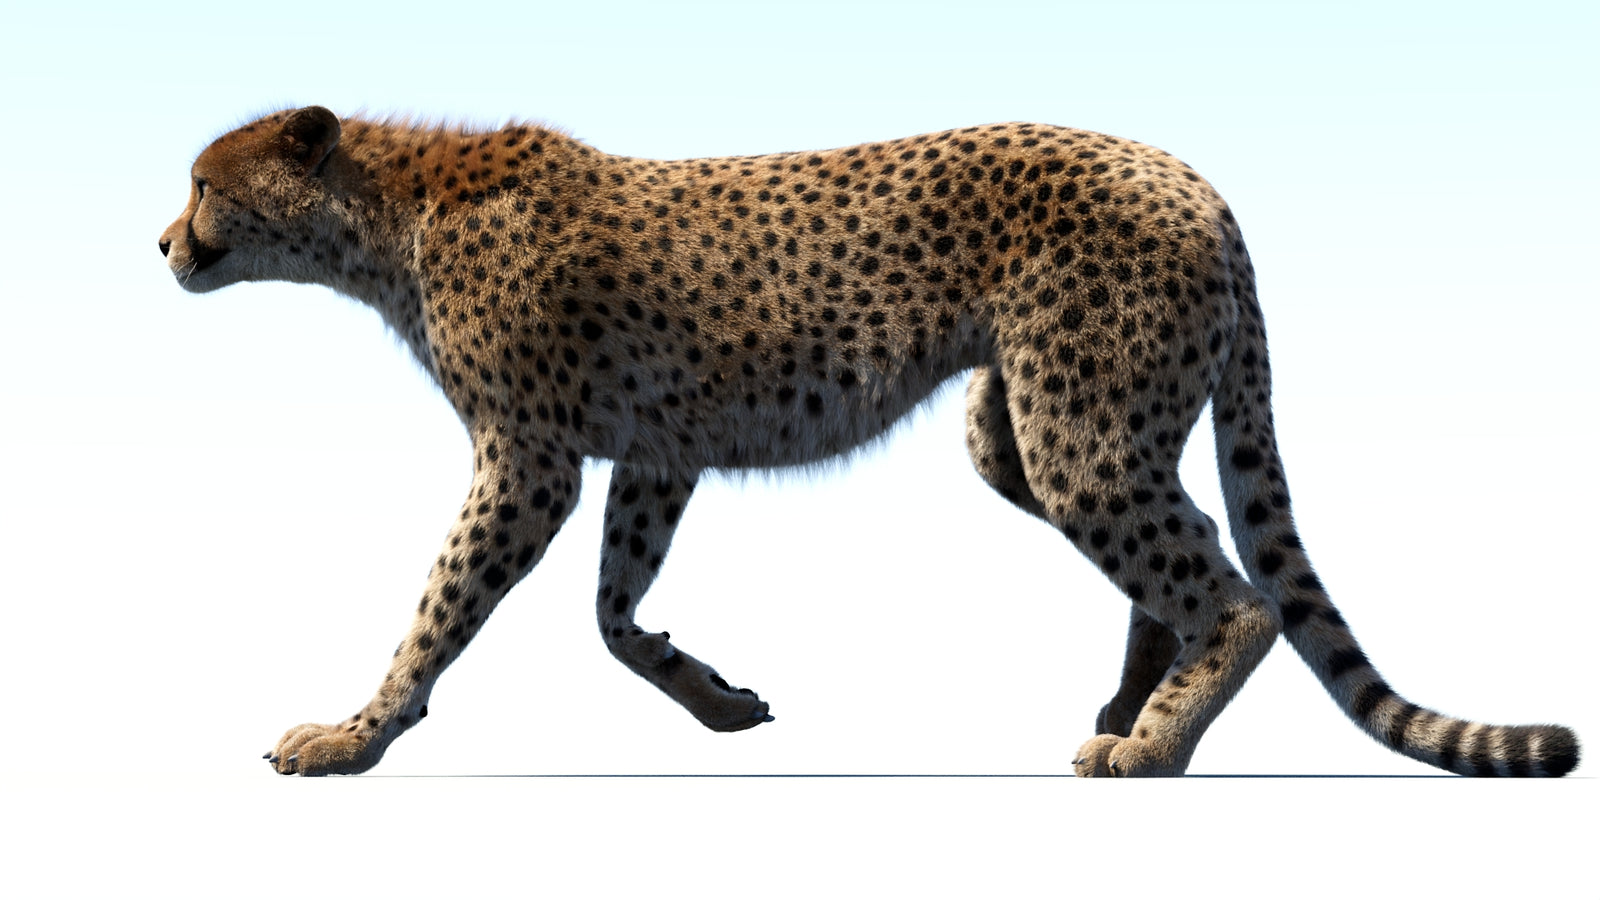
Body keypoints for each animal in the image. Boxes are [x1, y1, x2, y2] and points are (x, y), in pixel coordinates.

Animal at [160, 106, 1580, 777]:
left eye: (206, 184)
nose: (165, 241)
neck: (380, 216)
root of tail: (1192, 178)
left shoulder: (529, 459)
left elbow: (440, 607)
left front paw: (353, 733)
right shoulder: (657, 450)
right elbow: (614, 615)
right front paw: (715, 698)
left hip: (1075, 428)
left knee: (1240, 595)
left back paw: (1154, 746)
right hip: (1032, 433)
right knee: (1175, 565)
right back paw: (1135, 699)